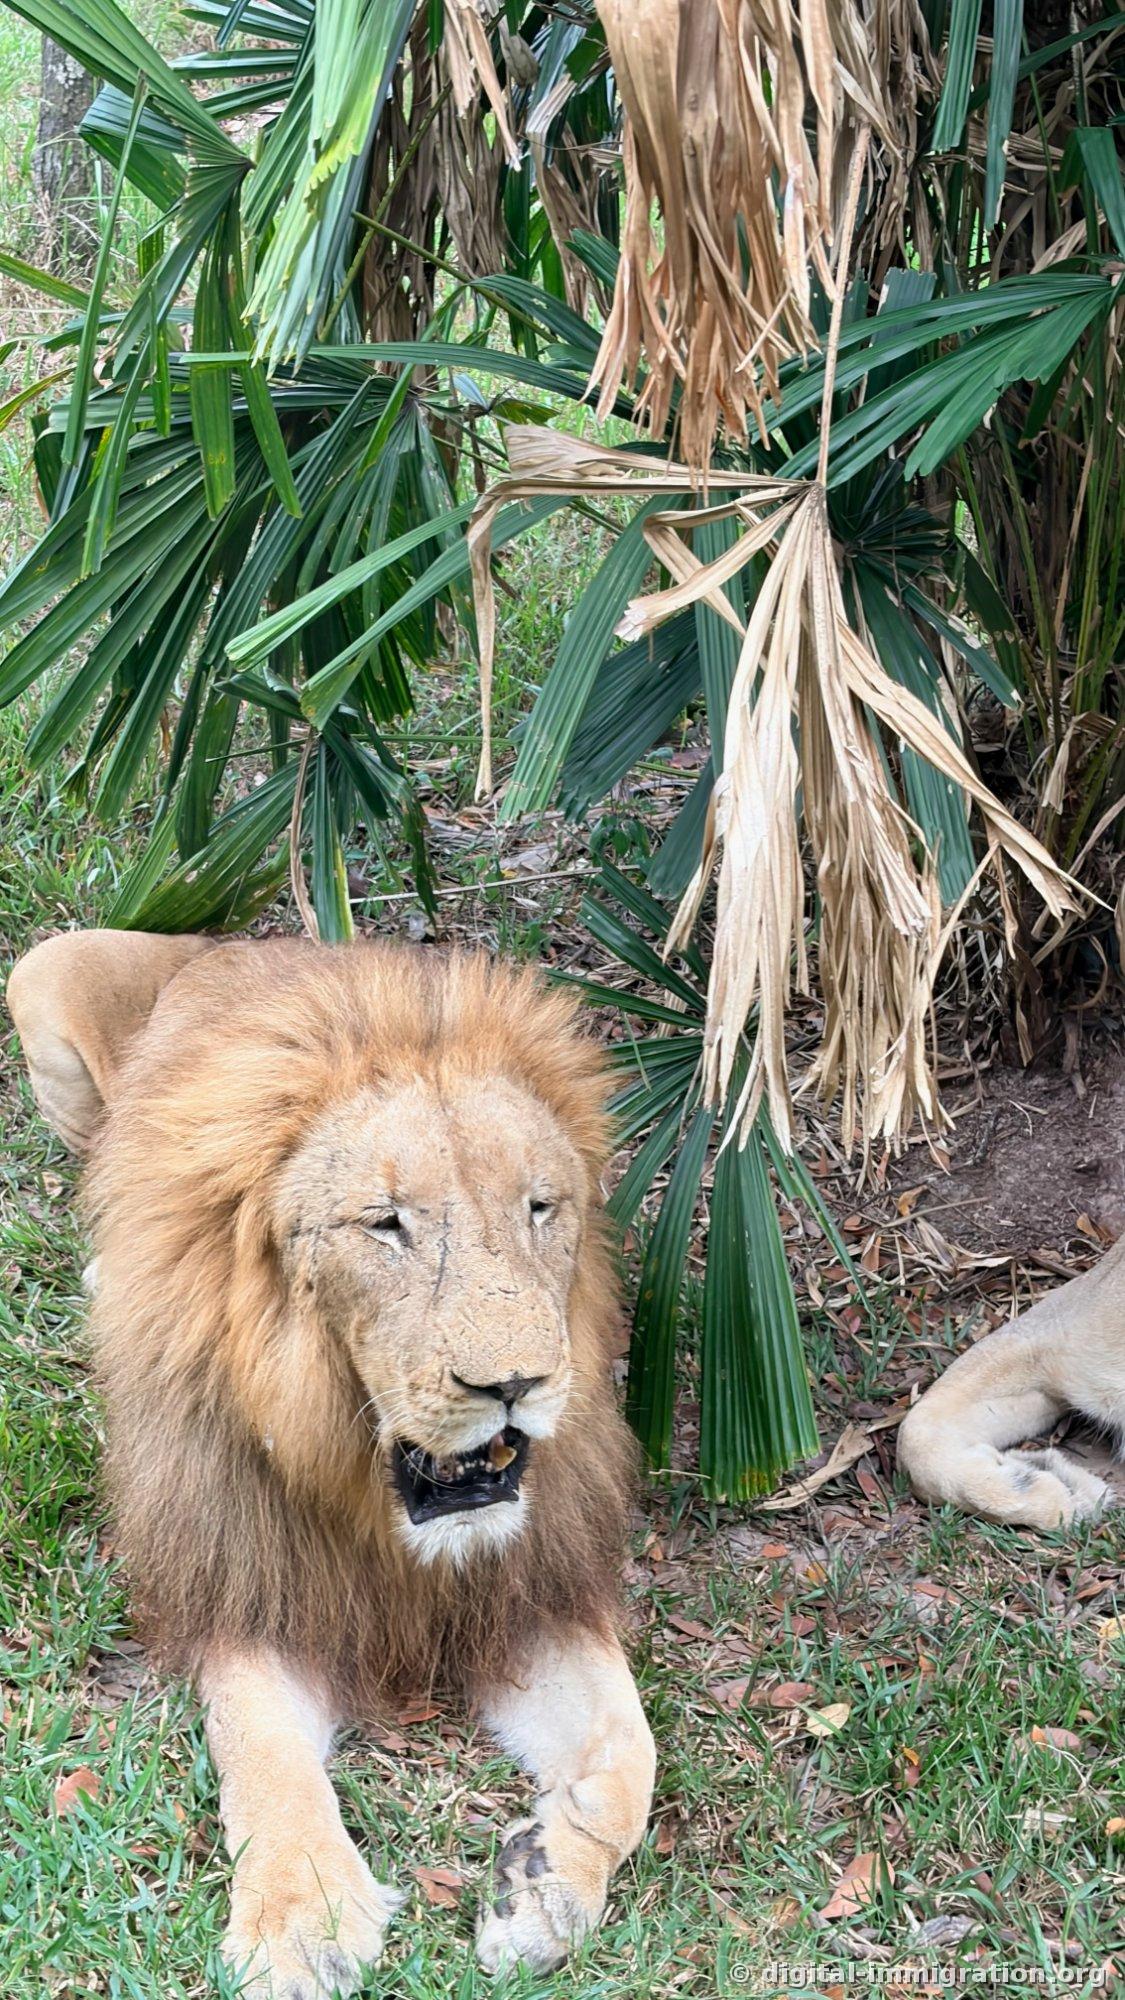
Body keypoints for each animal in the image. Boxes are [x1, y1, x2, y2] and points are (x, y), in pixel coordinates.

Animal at [7, 929, 656, 1996]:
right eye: (385, 1222)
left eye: (540, 1208)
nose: (516, 1382)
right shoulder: (250, 1584)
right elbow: (266, 1760)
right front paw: (297, 1925)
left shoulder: (527, 1590)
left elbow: (630, 1750)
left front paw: (543, 1885)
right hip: (44, 972)